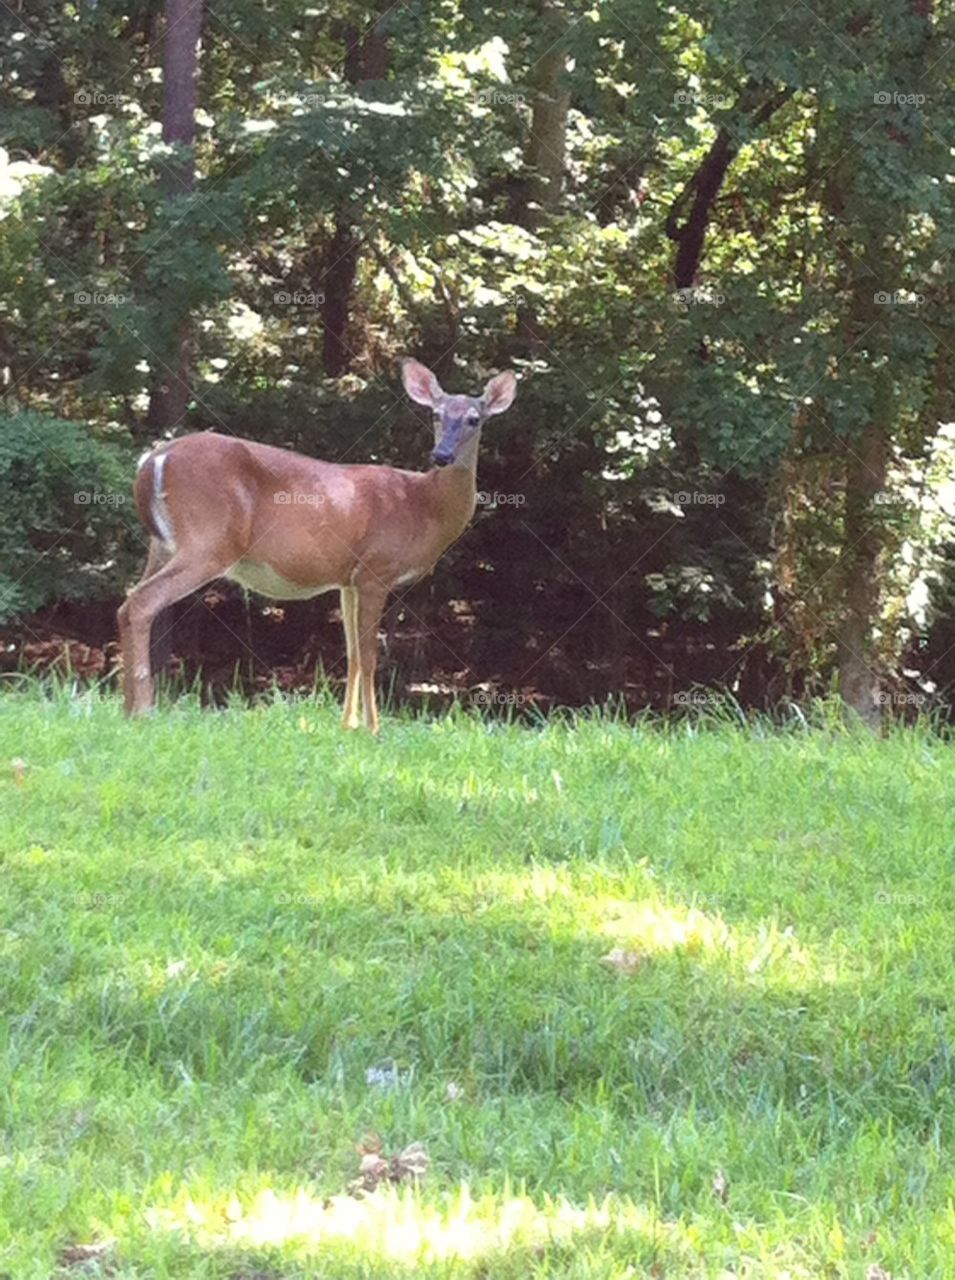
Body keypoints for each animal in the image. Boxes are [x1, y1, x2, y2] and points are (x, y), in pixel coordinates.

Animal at [118, 359, 517, 731]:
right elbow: (369, 655)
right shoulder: (375, 569)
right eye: (435, 414)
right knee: (141, 603)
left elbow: (352, 654)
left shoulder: (347, 579)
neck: (422, 505)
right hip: (208, 540)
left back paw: (126, 708)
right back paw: (143, 711)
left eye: (474, 419)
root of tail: (153, 459)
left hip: (162, 544)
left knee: (126, 604)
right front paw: (373, 729)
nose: (442, 456)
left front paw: (348, 725)